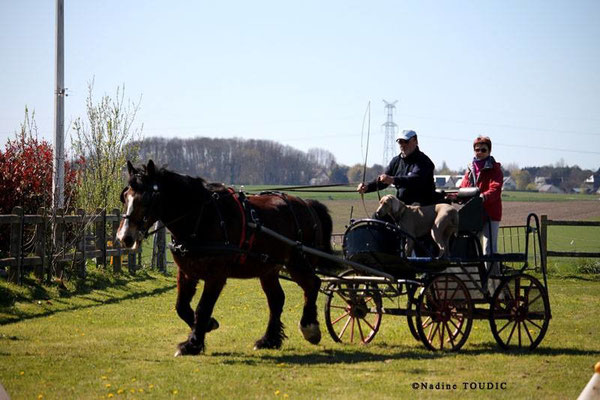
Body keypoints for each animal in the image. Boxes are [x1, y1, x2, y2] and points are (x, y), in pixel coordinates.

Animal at [117, 160, 332, 356]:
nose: (124, 237)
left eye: (147, 199)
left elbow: (203, 308)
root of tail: (307, 204)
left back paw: (309, 328)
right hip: (268, 268)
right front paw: (206, 326)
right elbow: (181, 307)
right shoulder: (186, 271)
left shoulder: (216, 275)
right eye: (125, 197)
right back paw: (269, 340)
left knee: (313, 284)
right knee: (277, 299)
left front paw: (192, 344)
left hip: (298, 262)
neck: (201, 217)